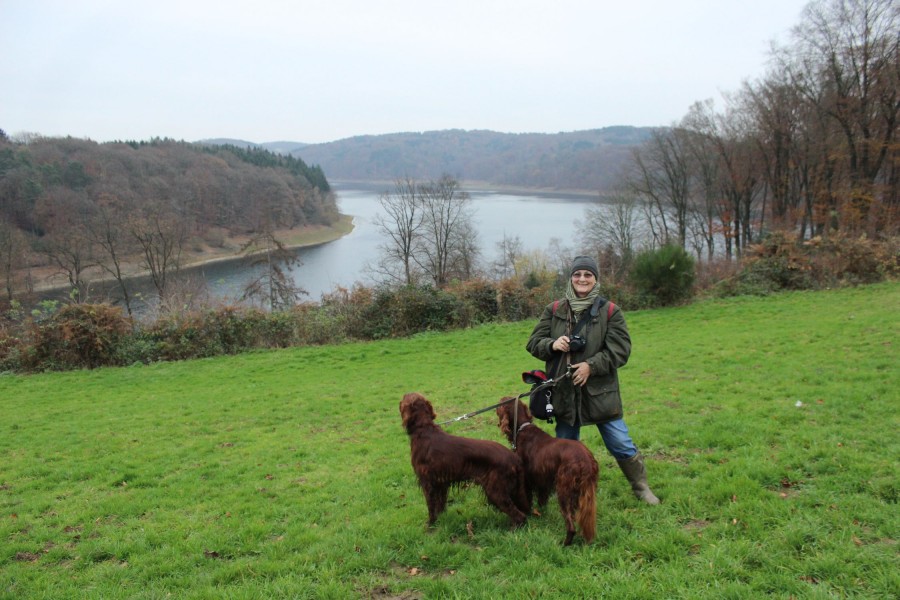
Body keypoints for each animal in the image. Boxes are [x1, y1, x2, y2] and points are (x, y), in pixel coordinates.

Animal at [399, 392, 529, 528]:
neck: (423, 428)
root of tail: (514, 458)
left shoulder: (428, 482)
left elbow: (431, 506)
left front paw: (430, 525)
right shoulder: (440, 483)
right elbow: (440, 504)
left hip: (495, 490)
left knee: (519, 515)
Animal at [496, 398, 598, 545]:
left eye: (500, 404)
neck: (522, 428)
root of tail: (586, 460)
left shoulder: (526, 479)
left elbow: (527, 498)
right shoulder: (542, 481)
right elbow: (542, 500)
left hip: (563, 489)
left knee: (571, 524)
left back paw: (565, 543)